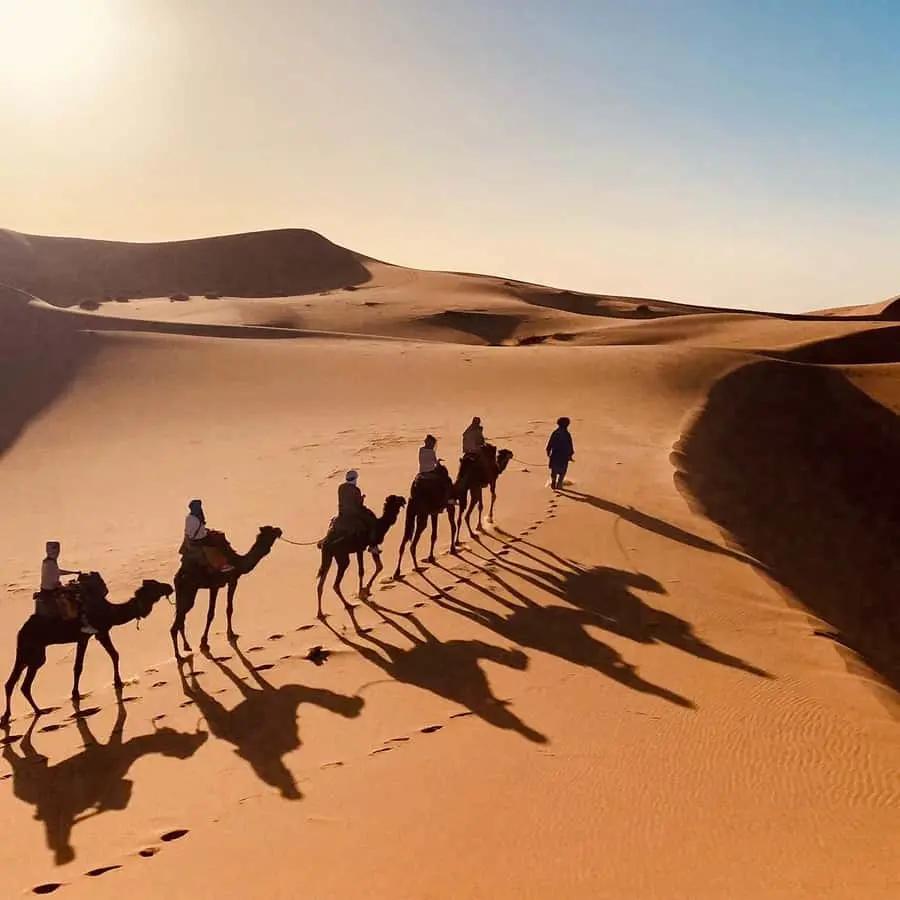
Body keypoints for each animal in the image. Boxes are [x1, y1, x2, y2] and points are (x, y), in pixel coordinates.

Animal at [1, 573, 173, 728]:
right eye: (156, 586)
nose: (169, 587)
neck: (110, 611)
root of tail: (21, 631)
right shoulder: (97, 633)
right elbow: (100, 659)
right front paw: (114, 683)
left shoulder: (87, 636)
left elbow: (94, 661)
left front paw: (81, 692)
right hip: (34, 652)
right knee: (22, 683)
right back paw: (37, 711)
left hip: (28, 652)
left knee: (13, 683)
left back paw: (12, 716)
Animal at [170, 525, 282, 658]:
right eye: (270, 530)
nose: (279, 530)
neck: (237, 562)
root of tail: (178, 576)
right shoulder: (224, 582)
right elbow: (216, 612)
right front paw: (207, 642)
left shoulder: (223, 583)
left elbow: (226, 609)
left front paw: (227, 635)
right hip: (189, 590)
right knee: (178, 620)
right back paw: (179, 655)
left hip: (184, 592)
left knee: (180, 617)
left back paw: (186, 647)